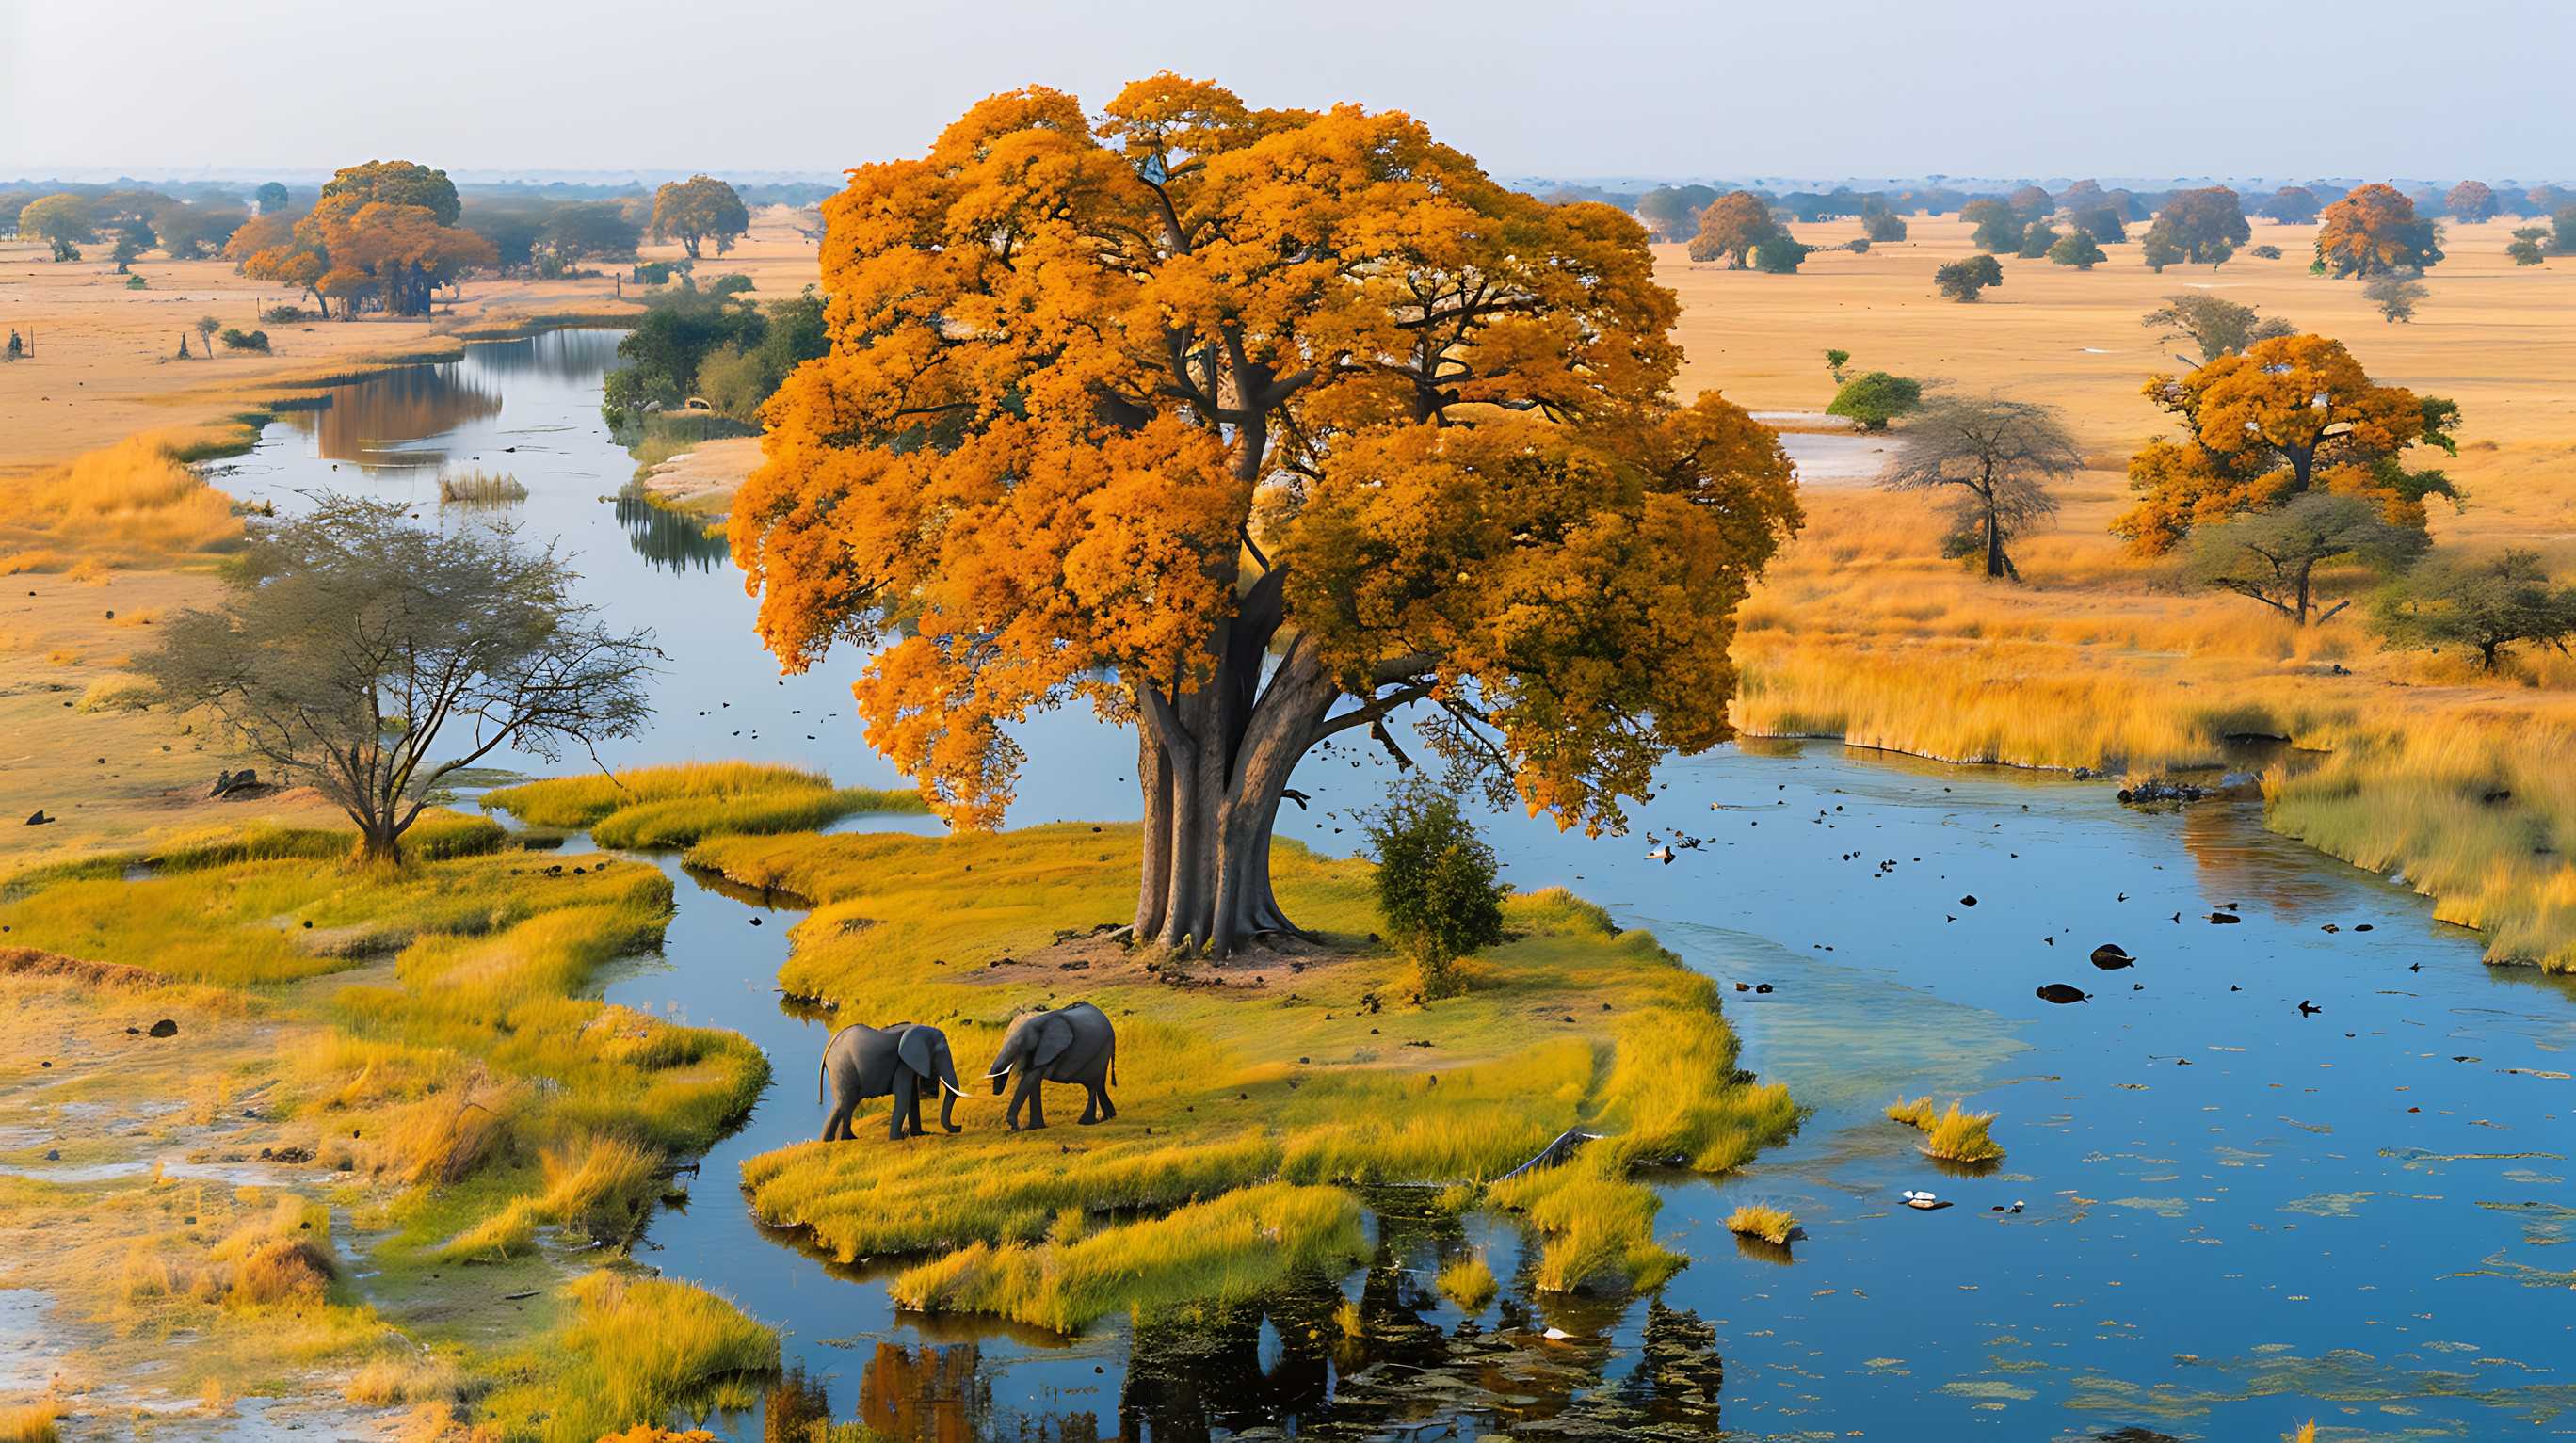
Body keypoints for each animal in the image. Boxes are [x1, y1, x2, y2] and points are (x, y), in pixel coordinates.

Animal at [817, 1021, 964, 1142]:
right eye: (940, 1052)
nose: (959, 1127)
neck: (918, 1028)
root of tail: (828, 1047)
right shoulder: (903, 1063)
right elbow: (903, 1095)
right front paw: (897, 1139)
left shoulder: (908, 1063)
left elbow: (912, 1097)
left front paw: (920, 1134)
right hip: (841, 1066)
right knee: (843, 1102)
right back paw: (826, 1142)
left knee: (850, 1103)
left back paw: (849, 1138)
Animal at [986, 1001, 1117, 1131]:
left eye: (1023, 1043)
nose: (995, 1092)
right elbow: (1031, 1079)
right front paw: (1034, 1127)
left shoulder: (1047, 1051)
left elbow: (1031, 1077)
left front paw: (1017, 1127)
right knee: (1096, 1085)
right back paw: (1107, 1117)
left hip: (1102, 1052)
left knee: (1093, 1085)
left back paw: (1087, 1122)